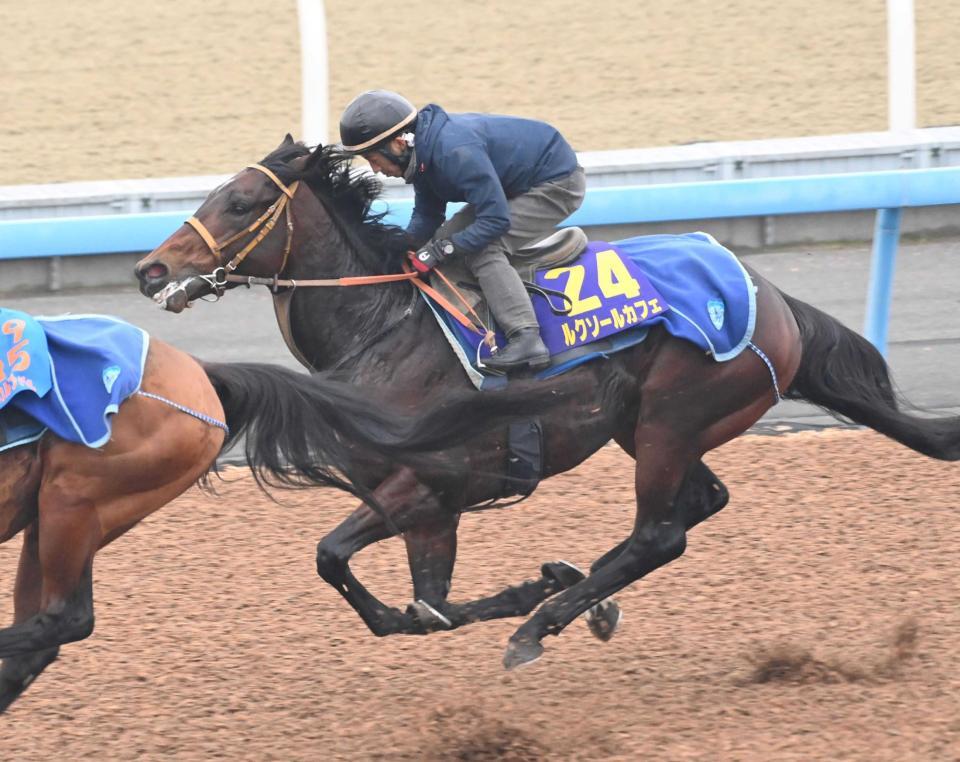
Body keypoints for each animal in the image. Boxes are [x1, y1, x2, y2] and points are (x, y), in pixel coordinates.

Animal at [134, 137, 960, 669]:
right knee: (700, 502)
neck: (382, 329)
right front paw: (549, 580)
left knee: (662, 533)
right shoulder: (419, 502)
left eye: (241, 202)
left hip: (671, 419)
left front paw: (540, 594)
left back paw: (543, 625)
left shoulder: (428, 487)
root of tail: (774, 298)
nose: (150, 269)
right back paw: (583, 599)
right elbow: (399, 598)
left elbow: (372, 578)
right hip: (646, 426)